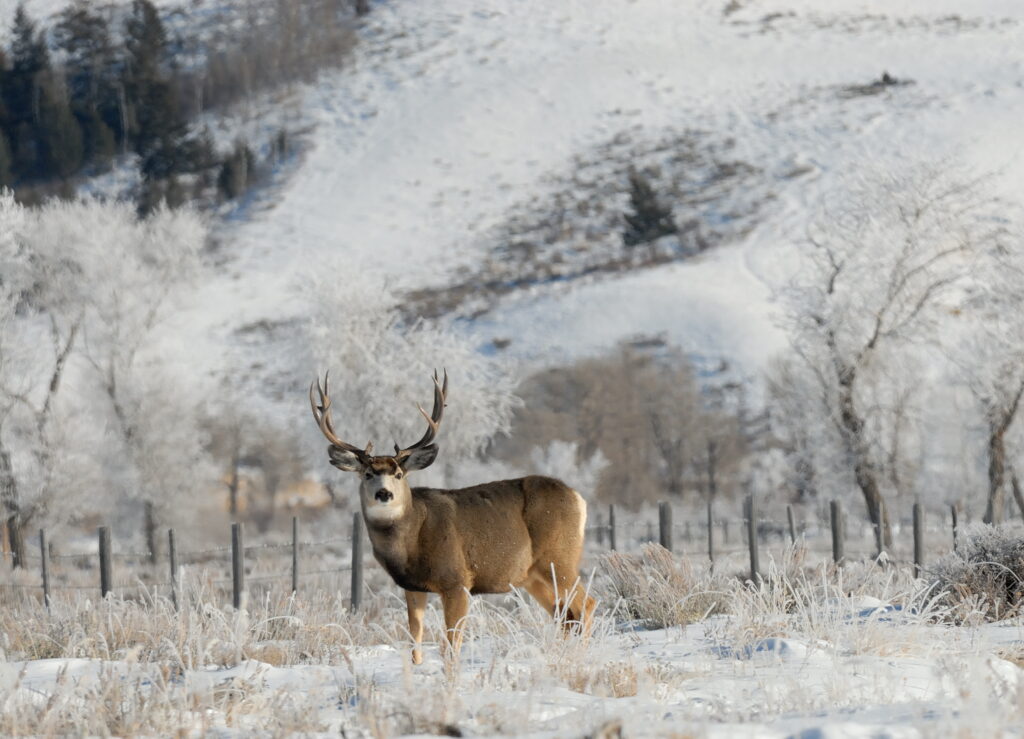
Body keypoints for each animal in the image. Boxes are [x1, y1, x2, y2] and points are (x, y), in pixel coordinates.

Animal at [307, 368, 593, 663]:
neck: (411, 541)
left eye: (398, 474)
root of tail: (578, 497)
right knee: (564, 614)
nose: (384, 493)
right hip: (532, 575)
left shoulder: (457, 580)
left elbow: (452, 641)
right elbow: (415, 637)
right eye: (367, 474)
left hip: (558, 557)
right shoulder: (412, 585)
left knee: (585, 604)